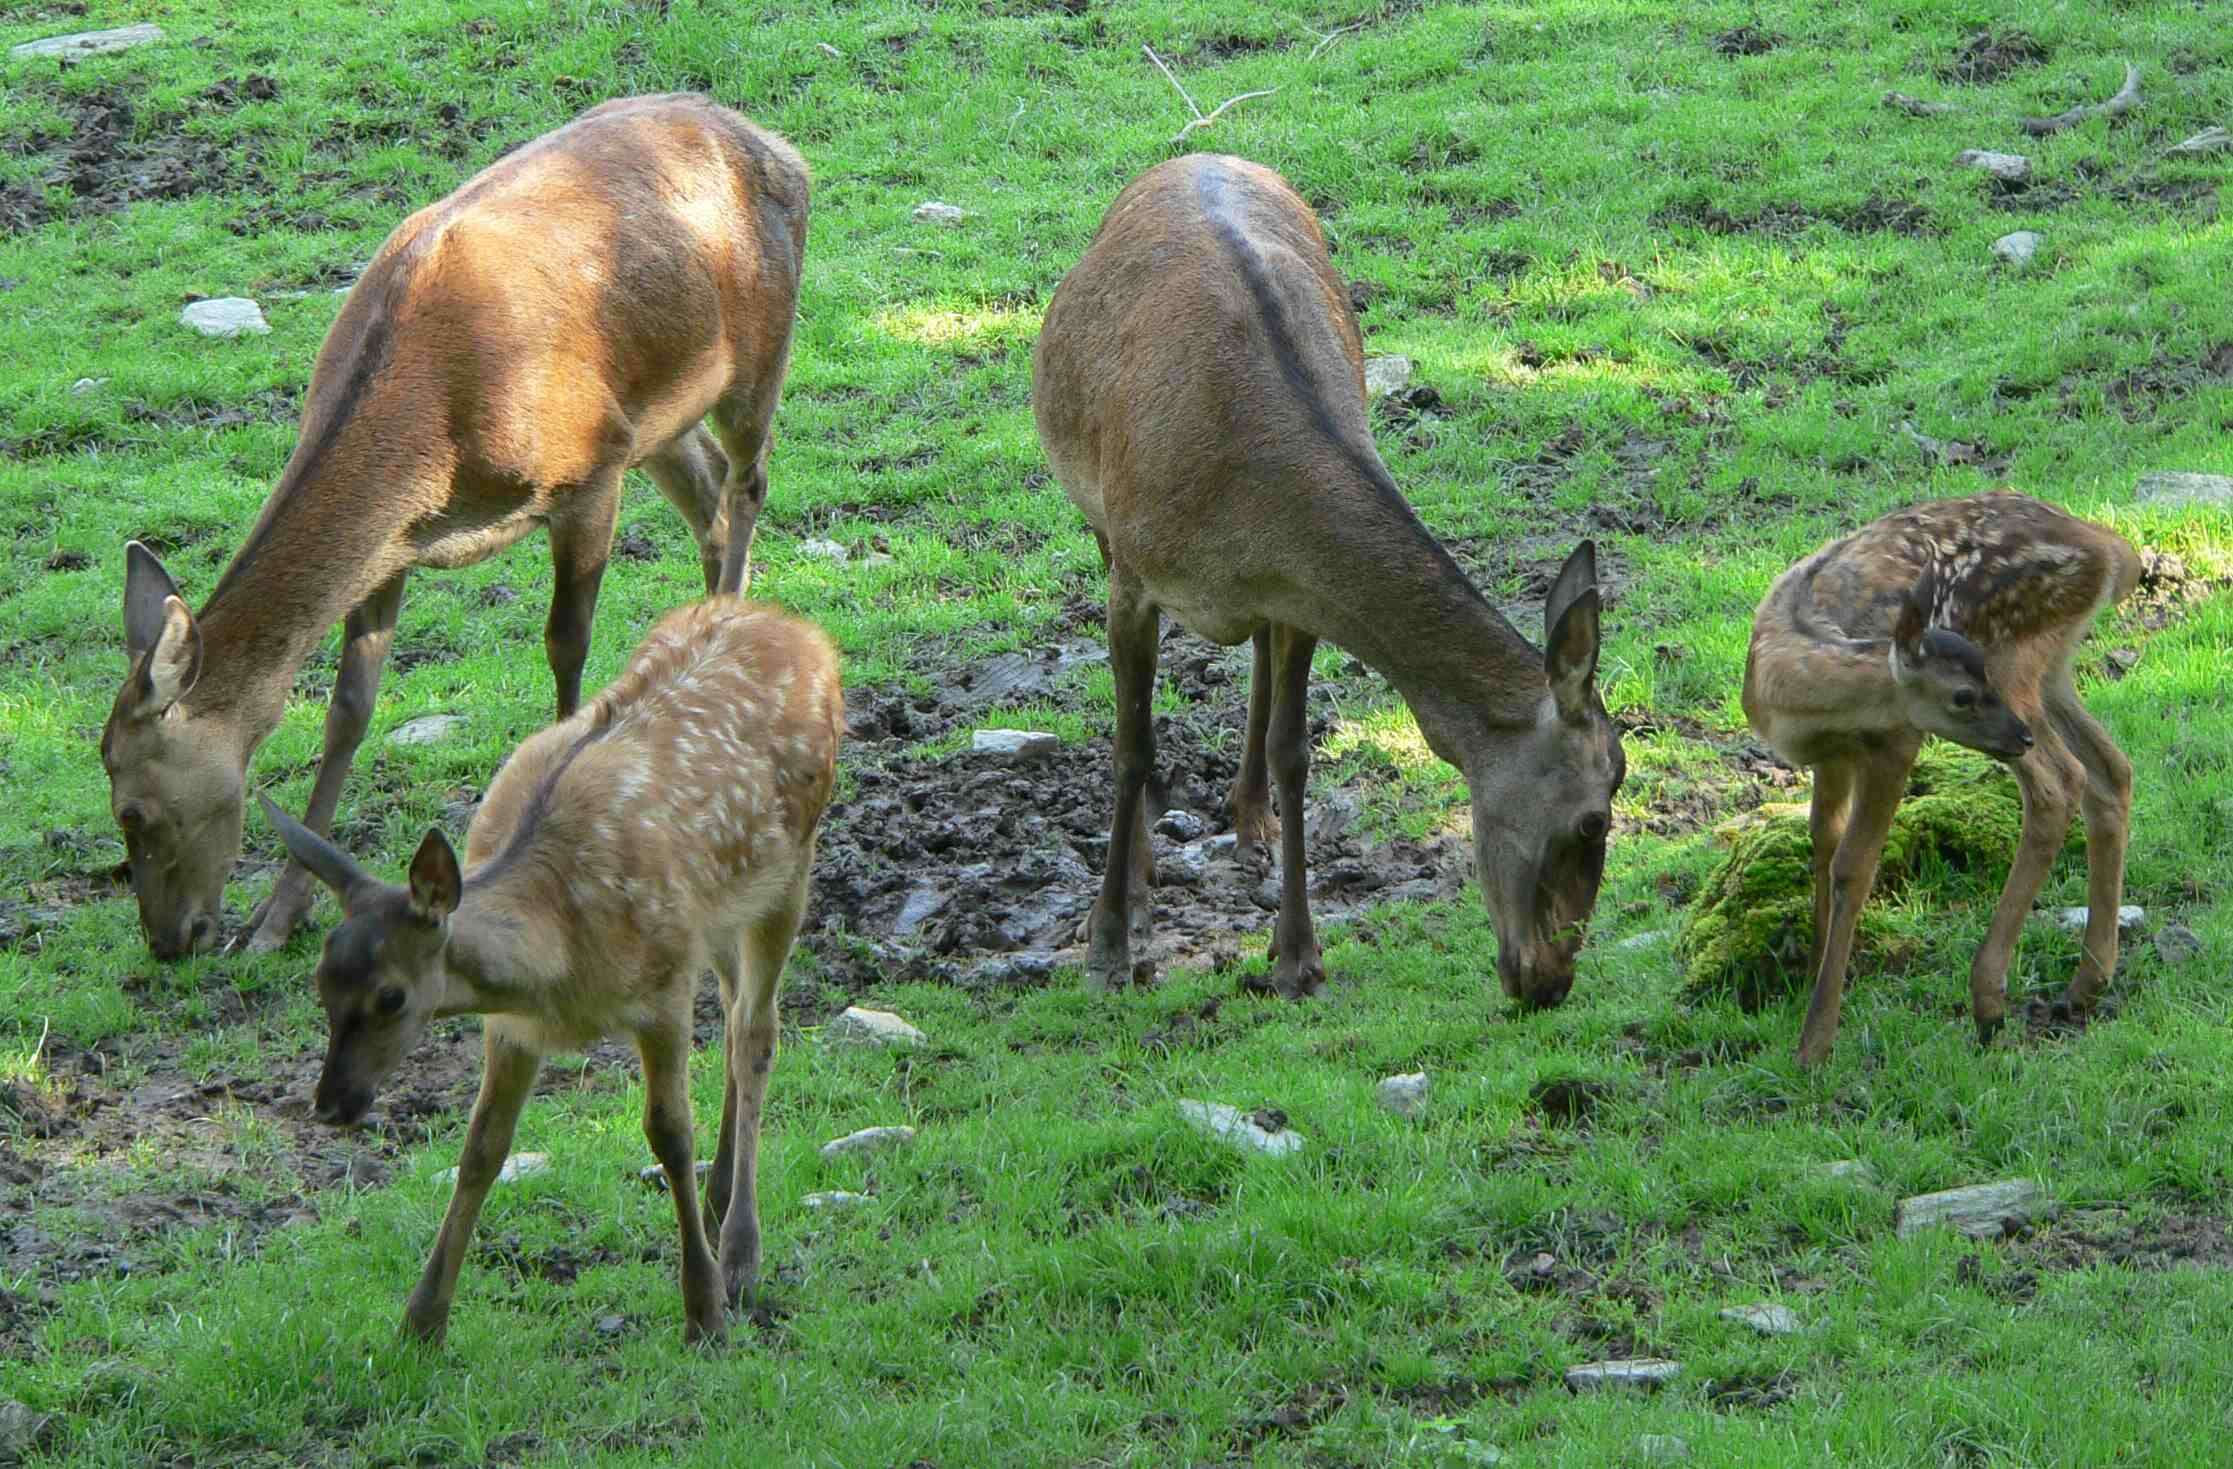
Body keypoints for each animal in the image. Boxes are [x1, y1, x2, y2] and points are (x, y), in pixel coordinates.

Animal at [100, 94, 812, 959]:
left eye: (134, 810)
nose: (172, 940)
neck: (434, 434)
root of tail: (776, 145)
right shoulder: (394, 546)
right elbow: (348, 707)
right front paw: (276, 918)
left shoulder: (588, 467)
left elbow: (566, 644)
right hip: (658, 418)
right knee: (708, 493)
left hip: (758, 351)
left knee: (747, 484)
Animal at [259, 593, 844, 1339]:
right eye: (321, 986)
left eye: (391, 997)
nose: (332, 1104)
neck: (561, 966)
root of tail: (803, 630)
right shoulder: (513, 1026)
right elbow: (481, 1148)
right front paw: (421, 1322)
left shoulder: (663, 986)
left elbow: (668, 1134)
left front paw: (705, 1310)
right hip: (720, 908)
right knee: (738, 1008)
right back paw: (718, 1201)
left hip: (791, 865)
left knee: (754, 1034)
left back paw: (741, 1251)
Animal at [1027, 154, 1625, 1000]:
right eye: (1592, 818)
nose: (1548, 981)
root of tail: (1199, 155)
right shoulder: (1134, 578)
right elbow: (1131, 746)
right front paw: (1111, 941)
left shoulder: (1301, 593)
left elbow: (1295, 751)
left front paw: (1296, 957)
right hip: (1099, 516)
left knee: (1254, 665)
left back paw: (1250, 818)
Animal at [1741, 491, 2143, 1062]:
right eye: (1962, 694)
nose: (2016, 733)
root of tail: (2110, 551)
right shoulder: (1832, 756)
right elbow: (1822, 836)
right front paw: (1818, 971)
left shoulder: (1893, 742)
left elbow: (1854, 865)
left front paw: (1816, 1040)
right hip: (2051, 671)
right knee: (2112, 770)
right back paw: (2085, 984)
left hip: (2019, 661)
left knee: (2060, 783)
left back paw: (1989, 999)